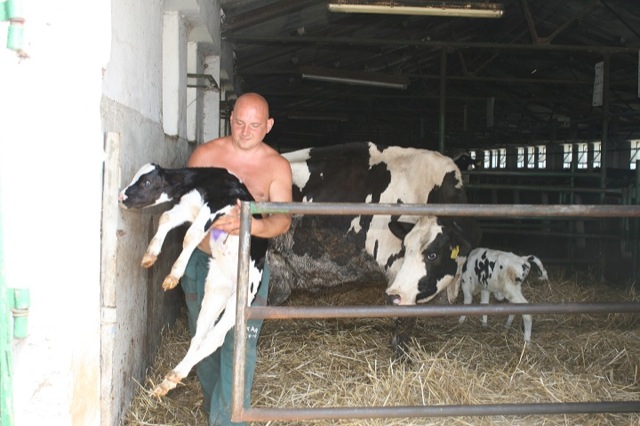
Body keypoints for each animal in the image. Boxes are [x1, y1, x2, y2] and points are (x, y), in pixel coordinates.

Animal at [118, 163, 267, 397]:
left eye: (146, 182)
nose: (121, 196)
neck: (202, 180)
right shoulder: (190, 207)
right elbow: (166, 218)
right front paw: (151, 254)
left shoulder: (217, 205)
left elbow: (191, 235)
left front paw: (173, 275)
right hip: (215, 289)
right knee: (200, 335)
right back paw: (169, 380)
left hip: (242, 297)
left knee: (214, 339)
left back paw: (175, 375)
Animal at [268, 142, 482, 357]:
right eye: (405, 248)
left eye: (432, 255)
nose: (393, 295)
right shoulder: (396, 269)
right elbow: (404, 318)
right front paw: (401, 358)